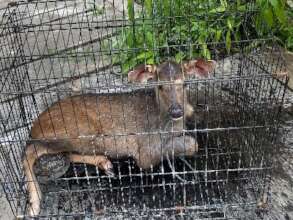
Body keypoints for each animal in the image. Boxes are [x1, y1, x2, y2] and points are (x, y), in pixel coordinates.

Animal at [22, 58, 214, 217]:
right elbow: (192, 144)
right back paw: (34, 204)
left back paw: (105, 164)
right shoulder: (145, 150)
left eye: (185, 84)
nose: (176, 111)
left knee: (64, 154)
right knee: (29, 151)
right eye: (160, 86)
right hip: (74, 131)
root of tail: (35, 125)